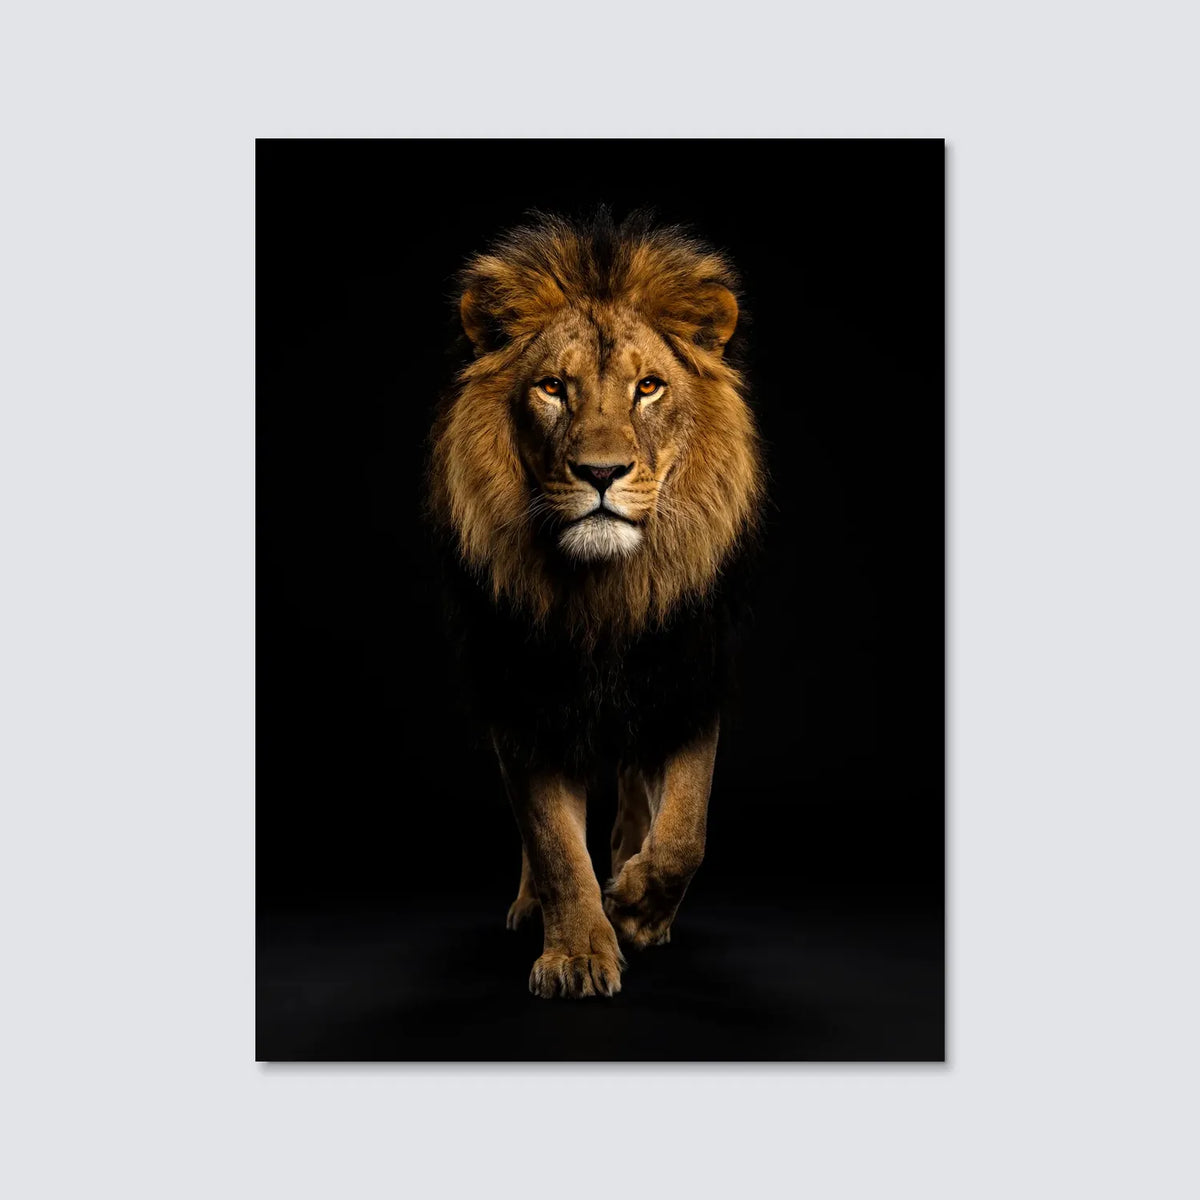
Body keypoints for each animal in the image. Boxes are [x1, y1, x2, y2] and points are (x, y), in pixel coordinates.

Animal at [428, 210, 763, 999]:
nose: (602, 472)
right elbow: (552, 841)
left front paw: (637, 907)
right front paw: (579, 951)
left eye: (649, 387)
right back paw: (535, 907)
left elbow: (686, 830)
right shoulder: (526, 700)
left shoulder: (687, 678)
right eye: (553, 387)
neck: (604, 596)